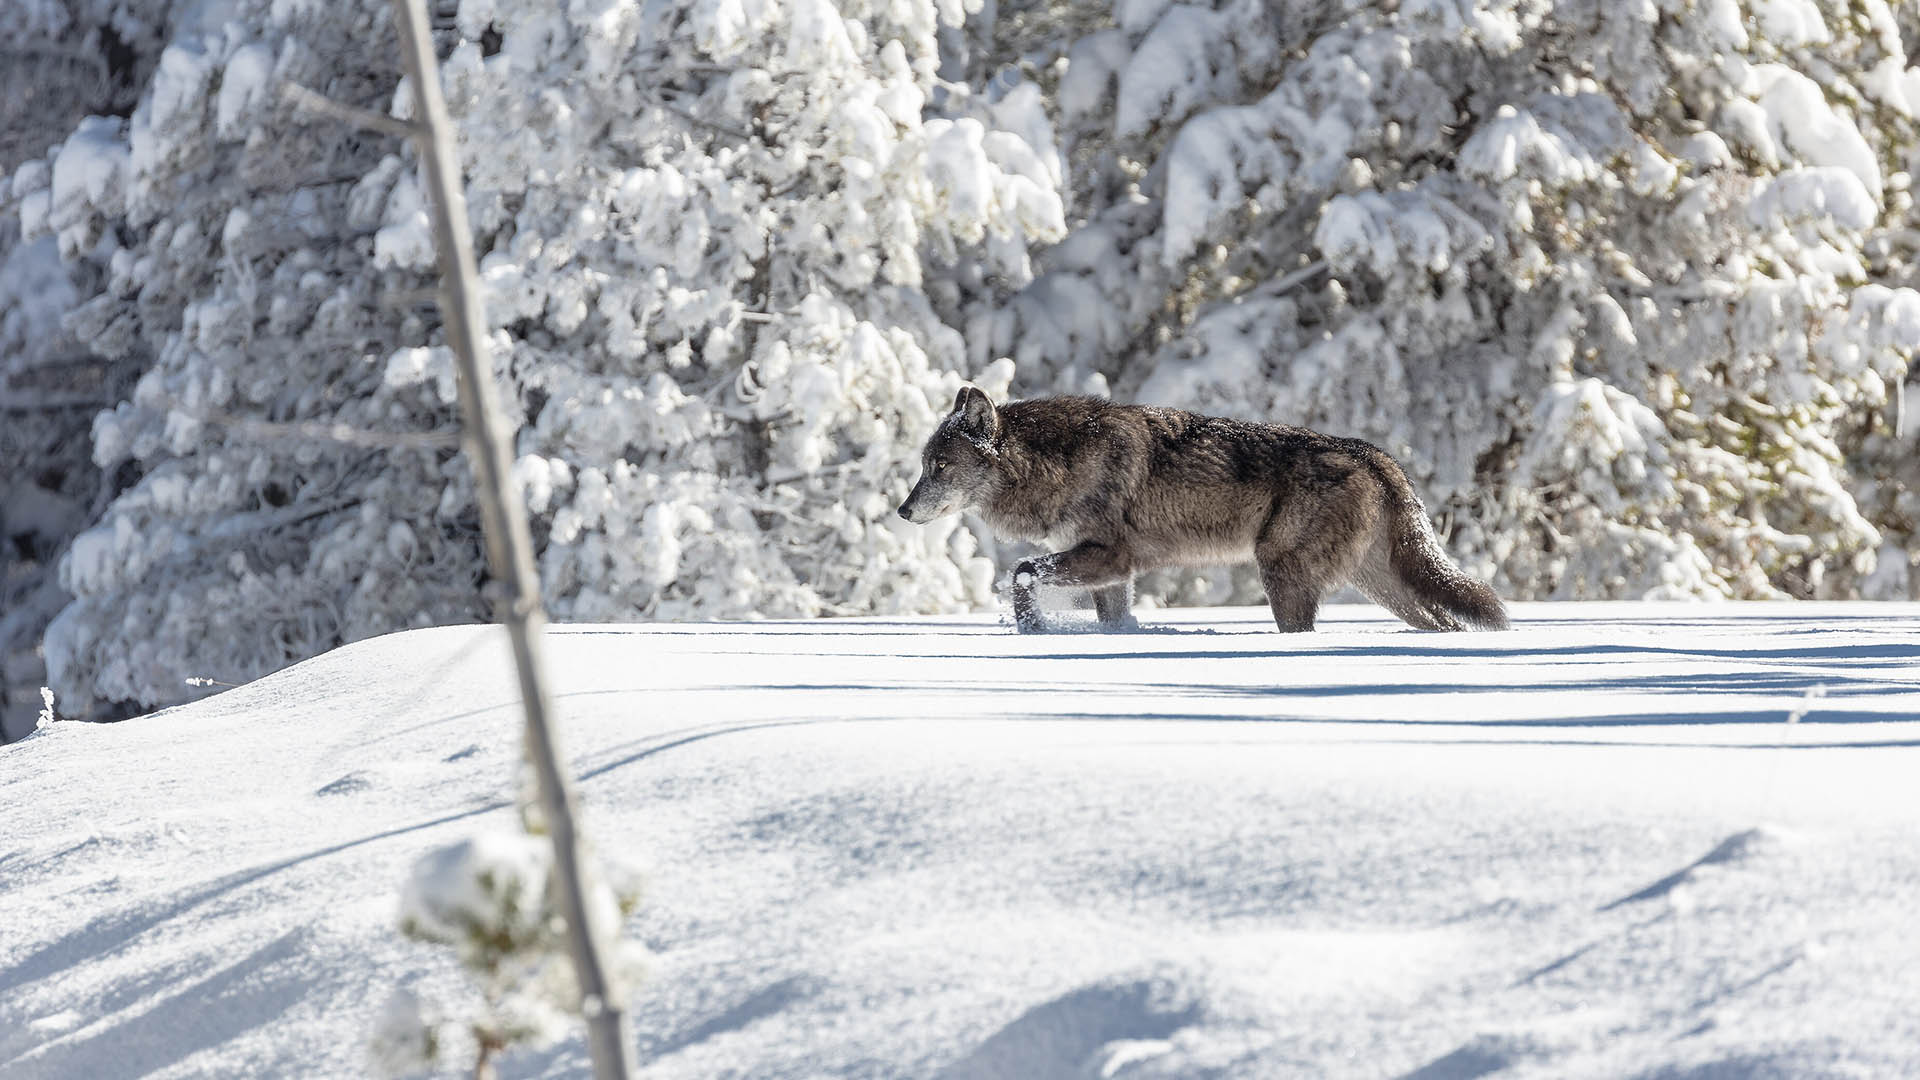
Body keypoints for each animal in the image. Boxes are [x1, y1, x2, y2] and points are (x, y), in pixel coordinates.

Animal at [897, 388, 1509, 634]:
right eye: (924, 466)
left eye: (940, 467)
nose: (902, 511)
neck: (1056, 462)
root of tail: (1372, 453)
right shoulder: (1113, 573)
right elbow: (1109, 617)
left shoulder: (1109, 557)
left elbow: (1021, 573)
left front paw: (1032, 630)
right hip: (1382, 586)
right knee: (1444, 621)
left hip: (1282, 574)